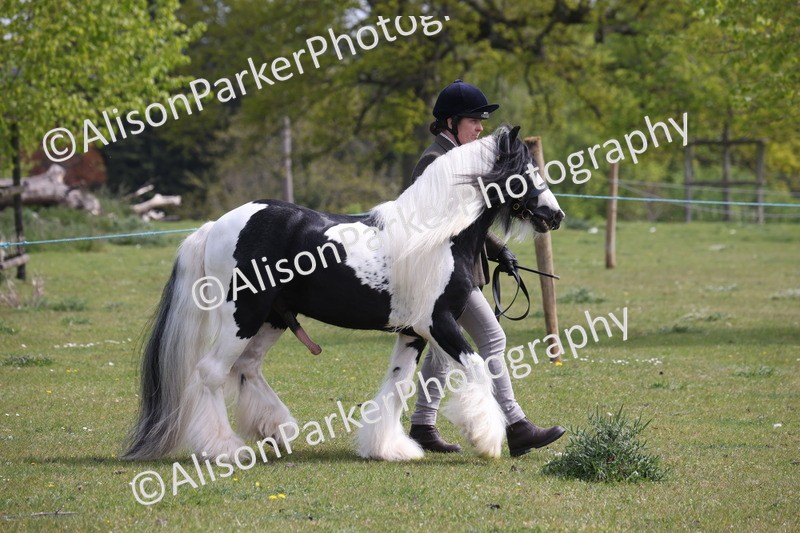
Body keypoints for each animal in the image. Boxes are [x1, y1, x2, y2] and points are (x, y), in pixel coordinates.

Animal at [123, 125, 565, 462]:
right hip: (242, 316)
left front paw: (387, 448)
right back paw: (226, 449)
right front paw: (487, 439)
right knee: (212, 373)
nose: (555, 215)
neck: (438, 237)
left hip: (271, 319)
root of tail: (215, 226)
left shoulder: (414, 332)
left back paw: (277, 430)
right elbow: (477, 369)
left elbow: (399, 383)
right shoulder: (439, 323)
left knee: (246, 367)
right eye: (525, 171)